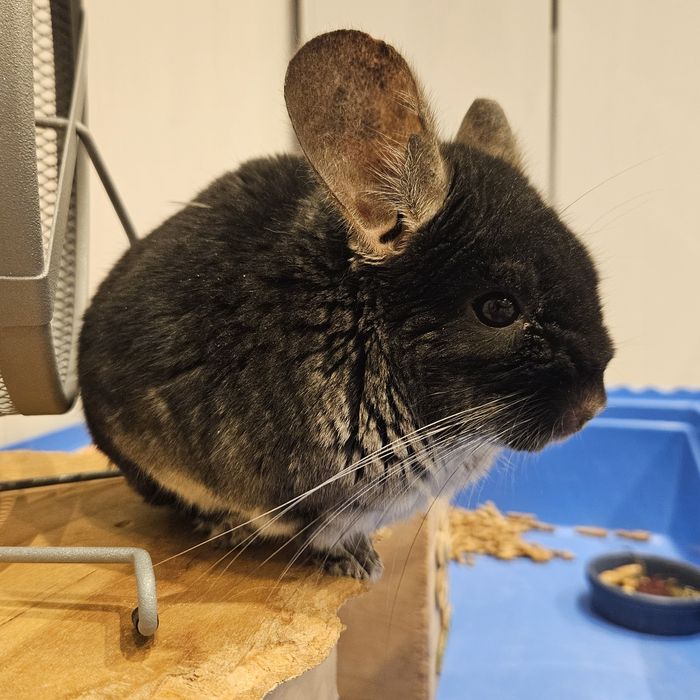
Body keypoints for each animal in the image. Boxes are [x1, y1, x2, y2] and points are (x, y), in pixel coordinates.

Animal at [78, 30, 613, 581]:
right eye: (499, 310)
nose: (593, 407)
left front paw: (368, 558)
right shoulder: (313, 501)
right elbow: (317, 532)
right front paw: (359, 566)